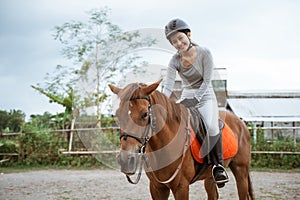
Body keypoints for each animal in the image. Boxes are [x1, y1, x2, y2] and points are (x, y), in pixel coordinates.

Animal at [108, 79, 253, 199]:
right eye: (117, 114)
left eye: (144, 114)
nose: (125, 159)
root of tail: (241, 123)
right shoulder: (156, 188)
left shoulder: (181, 187)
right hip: (210, 178)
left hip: (241, 171)